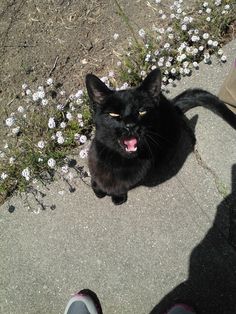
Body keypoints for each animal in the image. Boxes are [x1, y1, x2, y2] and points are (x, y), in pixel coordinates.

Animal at [85, 68, 236, 205]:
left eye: (142, 112)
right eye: (114, 114)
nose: (130, 125)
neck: (116, 159)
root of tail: (172, 105)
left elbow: (121, 186)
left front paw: (117, 196)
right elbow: (95, 181)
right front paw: (98, 188)